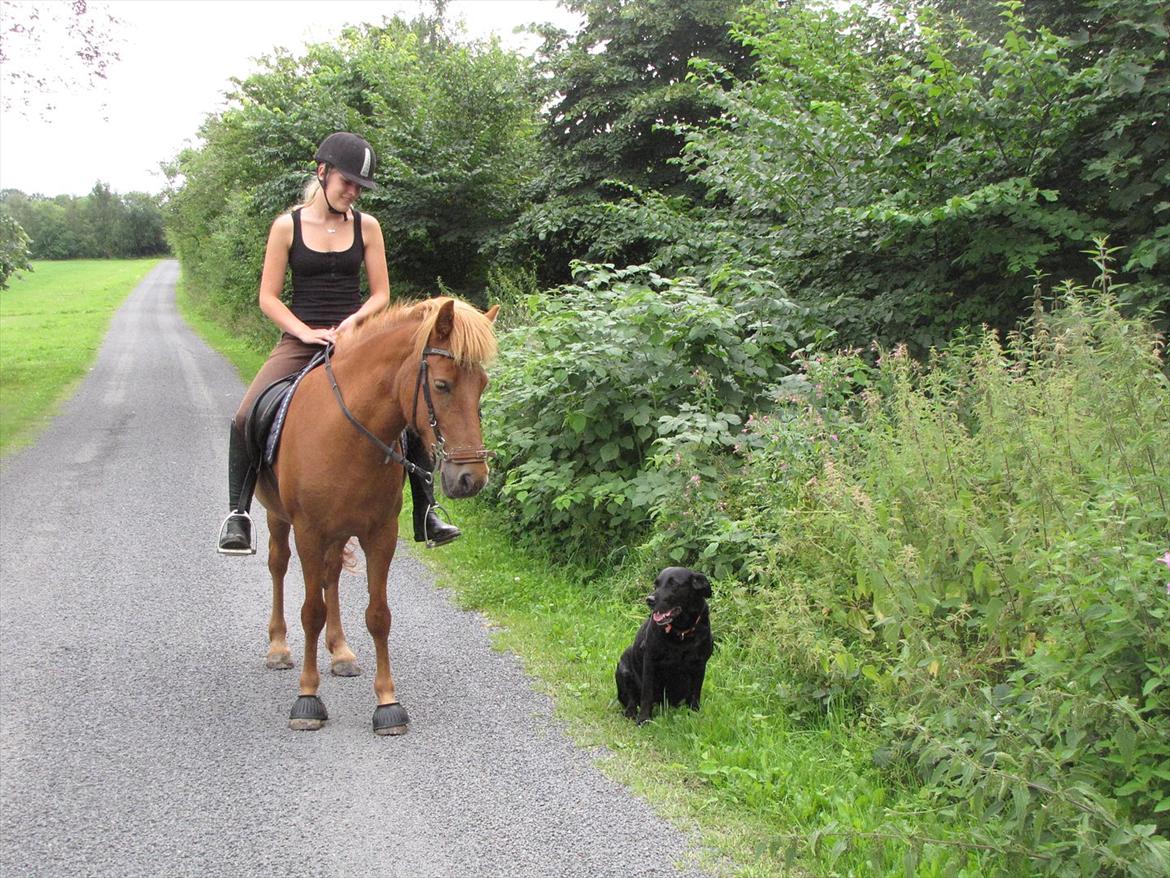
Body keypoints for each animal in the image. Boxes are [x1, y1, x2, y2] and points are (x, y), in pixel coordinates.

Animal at [253, 299, 496, 739]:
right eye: (441, 385)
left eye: (482, 385)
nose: (471, 478)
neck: (345, 435)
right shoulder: (309, 532)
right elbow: (310, 612)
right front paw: (307, 699)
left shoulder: (380, 535)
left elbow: (379, 616)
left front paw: (388, 703)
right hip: (279, 520)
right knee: (278, 566)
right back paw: (278, 647)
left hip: (337, 534)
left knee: (331, 575)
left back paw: (341, 652)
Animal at [617, 566, 706, 725]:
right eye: (656, 585)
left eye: (673, 584)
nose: (649, 600)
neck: (681, 633)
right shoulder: (650, 663)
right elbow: (646, 695)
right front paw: (644, 718)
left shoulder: (700, 665)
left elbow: (696, 694)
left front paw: (695, 713)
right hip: (623, 667)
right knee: (632, 699)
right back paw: (631, 712)